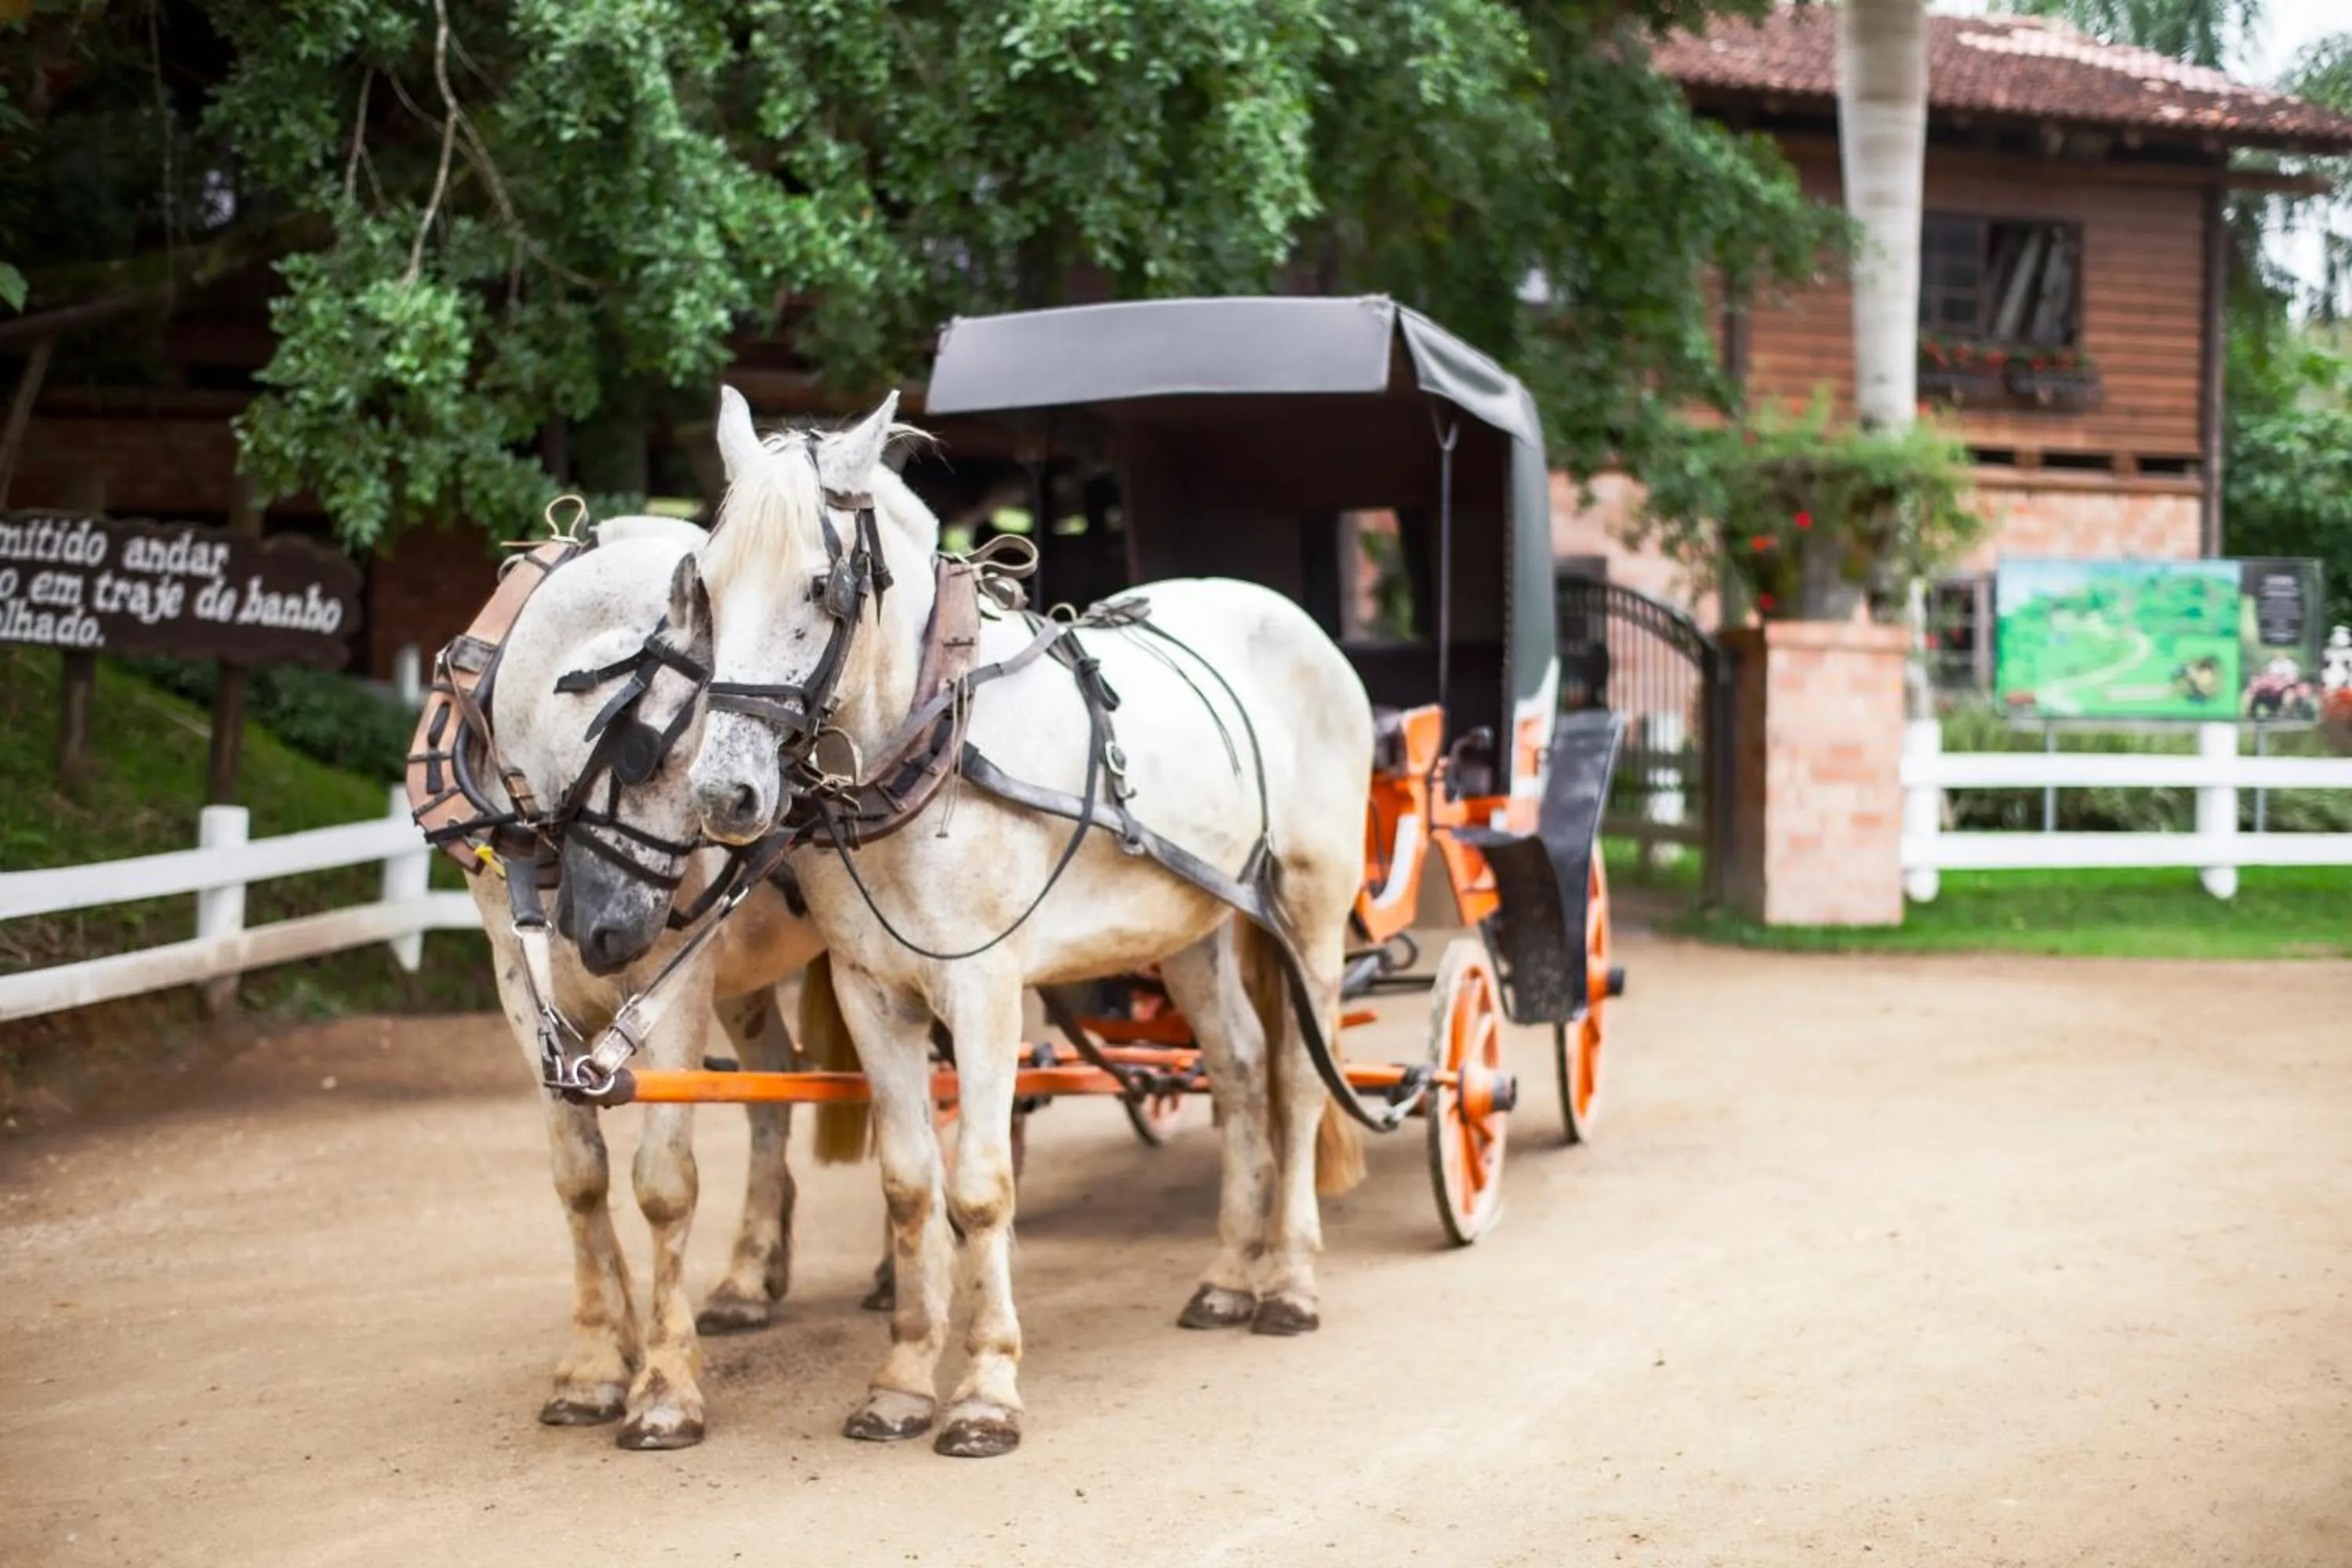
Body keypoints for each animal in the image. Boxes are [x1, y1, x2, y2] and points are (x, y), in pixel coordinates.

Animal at [678, 388, 1374, 1458]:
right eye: (706, 586)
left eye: (819, 588)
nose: (724, 792)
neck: (932, 744)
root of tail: (1290, 616)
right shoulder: (872, 991)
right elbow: (911, 1184)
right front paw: (902, 1380)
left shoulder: (985, 987)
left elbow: (980, 1186)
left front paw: (984, 1391)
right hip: (1196, 925)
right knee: (1239, 1069)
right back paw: (1226, 1275)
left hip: (1311, 908)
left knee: (1298, 1079)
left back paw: (1290, 1279)